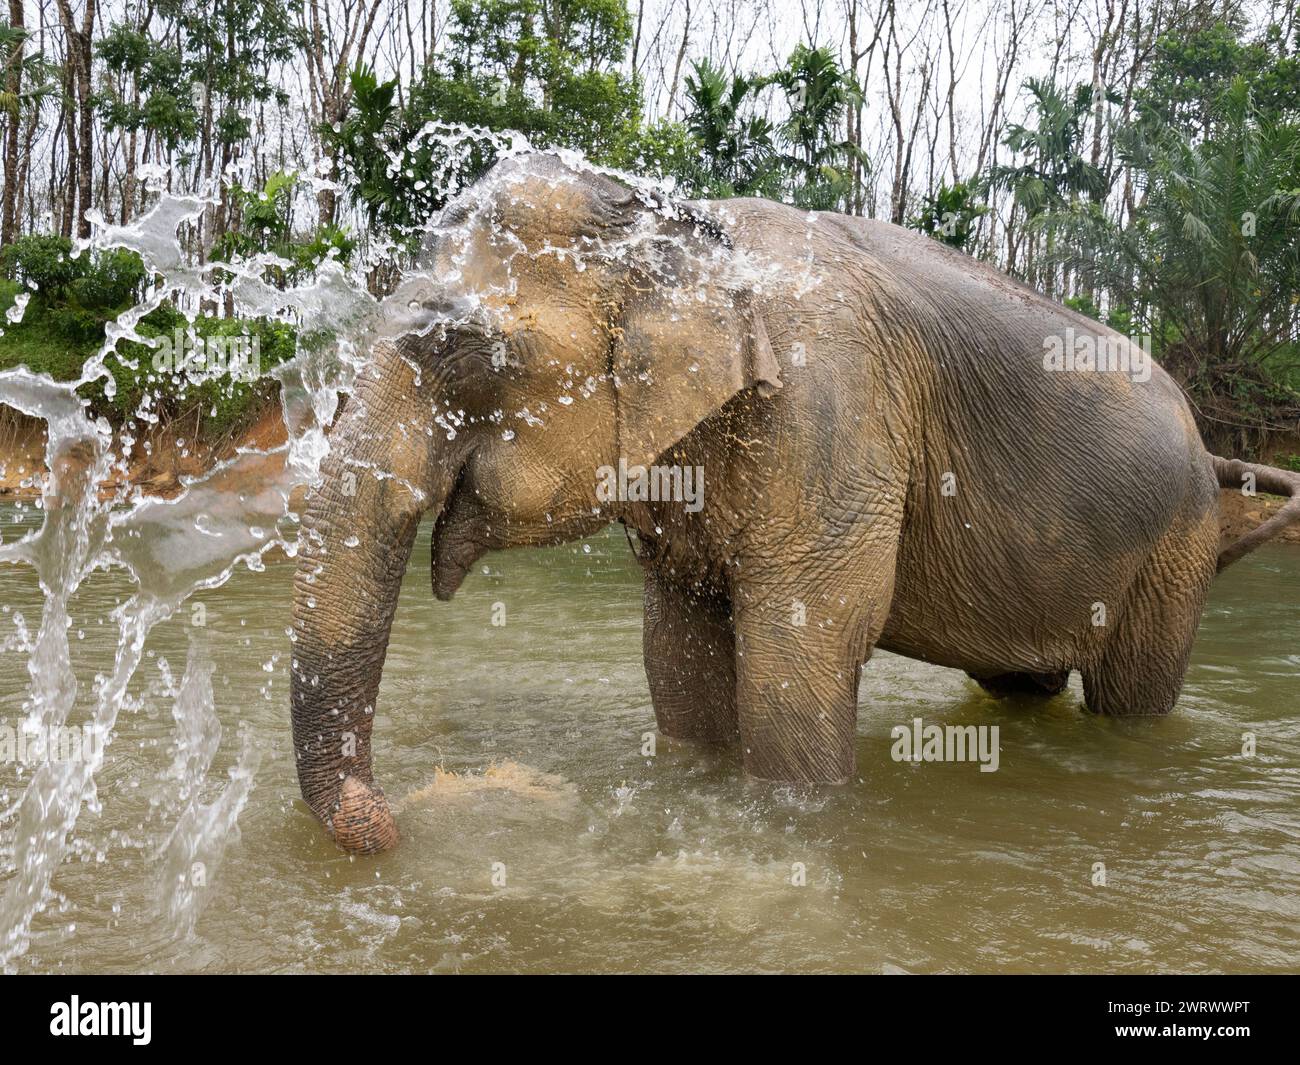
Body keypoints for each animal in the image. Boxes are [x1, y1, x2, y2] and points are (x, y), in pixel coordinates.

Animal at [287, 150, 1300, 853]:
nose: (389, 823)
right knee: (1021, 682)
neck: (688, 227)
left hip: (1175, 548)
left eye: (460, 352)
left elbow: (799, 652)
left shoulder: (834, 415)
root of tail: (1213, 446)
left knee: (1132, 695)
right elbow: (679, 655)